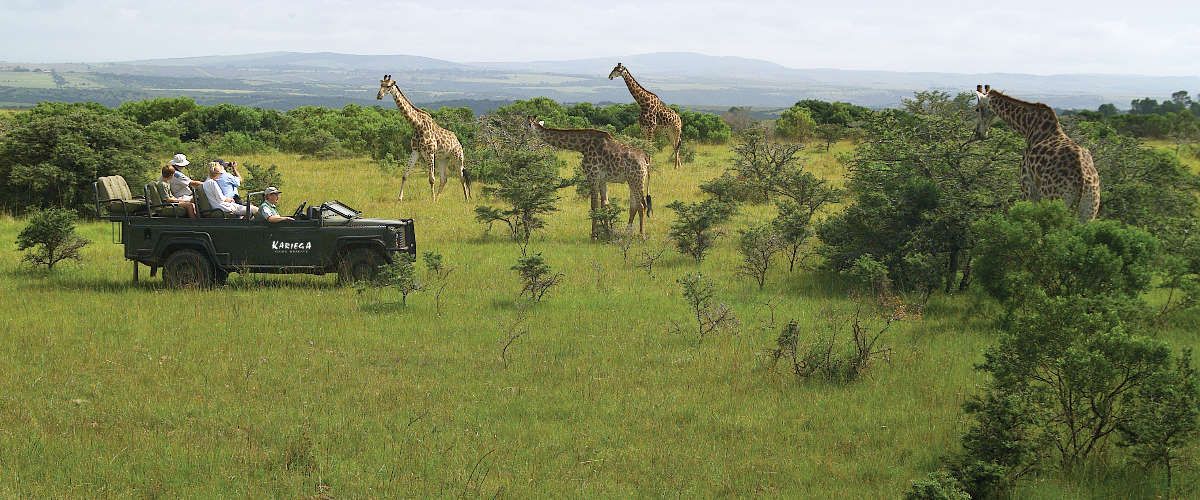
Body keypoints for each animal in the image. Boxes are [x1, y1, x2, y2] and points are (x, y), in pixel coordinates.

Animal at [975, 84, 1100, 222]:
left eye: (977, 109)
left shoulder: (1027, 185)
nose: (978, 133)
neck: (1028, 126)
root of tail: (1082, 181)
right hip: (1090, 210)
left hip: (1054, 198)